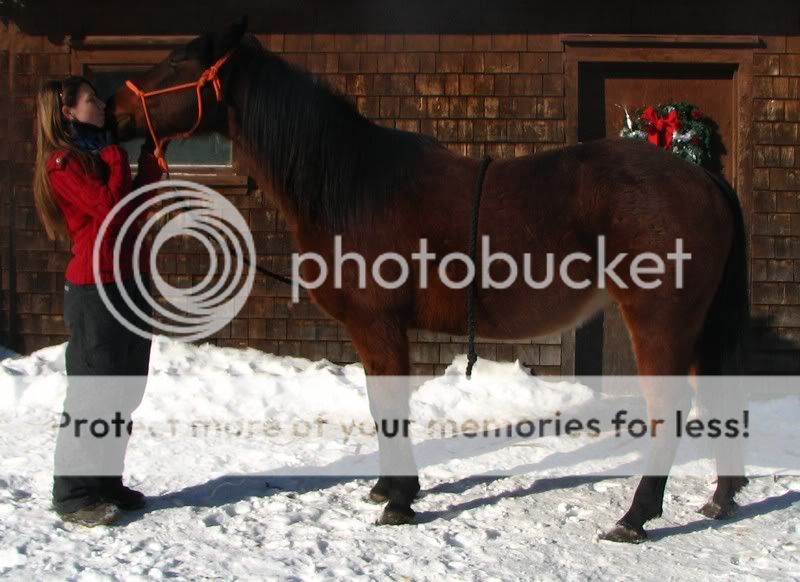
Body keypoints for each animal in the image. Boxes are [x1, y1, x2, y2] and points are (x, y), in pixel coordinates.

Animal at [108, 19, 752, 548]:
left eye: (176, 60)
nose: (112, 109)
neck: (354, 185)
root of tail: (702, 178)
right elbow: (380, 405)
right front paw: (390, 488)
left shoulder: (377, 324)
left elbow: (390, 407)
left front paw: (398, 501)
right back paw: (720, 498)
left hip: (659, 321)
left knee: (670, 409)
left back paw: (635, 517)